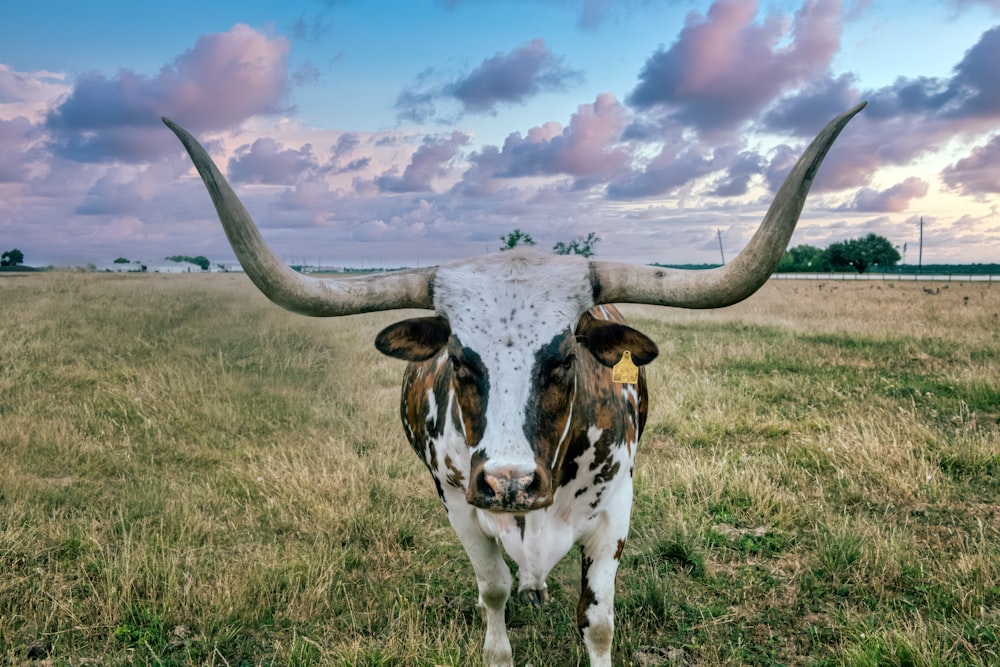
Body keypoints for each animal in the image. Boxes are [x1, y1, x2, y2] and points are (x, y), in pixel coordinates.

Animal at [164, 100, 868, 667]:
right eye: (460, 360)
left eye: (563, 359)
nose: (510, 483)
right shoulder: (459, 503)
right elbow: (493, 590)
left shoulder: (616, 510)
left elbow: (599, 623)